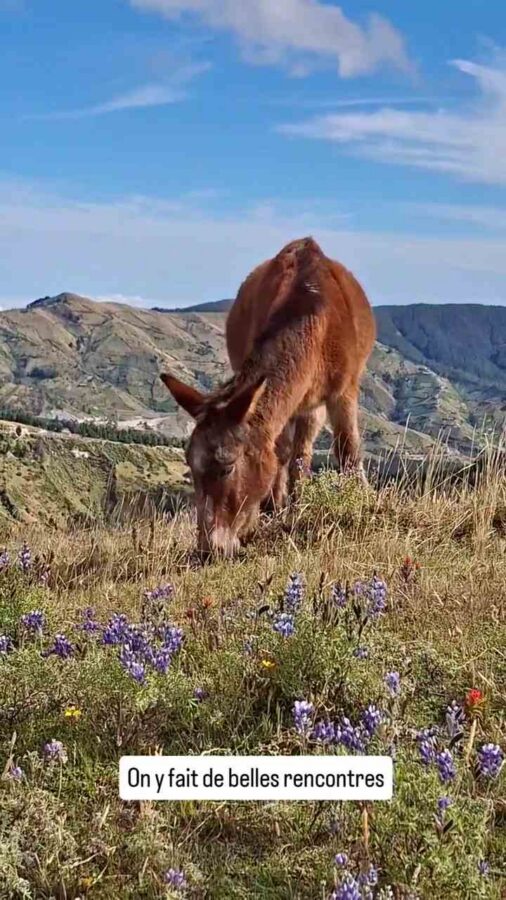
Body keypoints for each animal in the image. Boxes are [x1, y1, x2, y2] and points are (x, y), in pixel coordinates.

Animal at [160, 236, 376, 556]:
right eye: (191, 467)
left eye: (227, 467)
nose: (208, 550)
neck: (311, 314)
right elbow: (280, 453)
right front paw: (274, 510)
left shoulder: (343, 390)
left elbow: (348, 449)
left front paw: (361, 501)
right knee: (292, 452)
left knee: (303, 451)